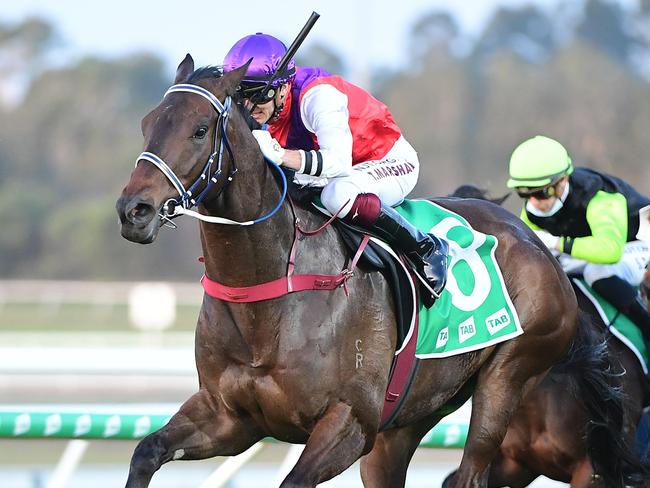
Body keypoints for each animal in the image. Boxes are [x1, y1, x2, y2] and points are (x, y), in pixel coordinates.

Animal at [114, 56, 576, 488]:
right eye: (147, 124)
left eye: (199, 129)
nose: (134, 211)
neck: (270, 291)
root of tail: (533, 240)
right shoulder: (227, 417)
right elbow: (146, 451)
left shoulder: (351, 421)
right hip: (412, 414)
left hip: (509, 375)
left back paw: (433, 256)